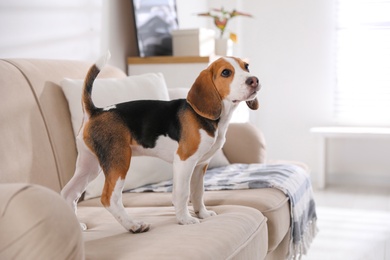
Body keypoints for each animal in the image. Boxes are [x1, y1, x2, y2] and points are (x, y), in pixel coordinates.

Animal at [62, 51, 260, 233]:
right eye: (226, 72)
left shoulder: (200, 165)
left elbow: (198, 192)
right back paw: (133, 225)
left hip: (89, 166)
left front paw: (202, 214)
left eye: (246, 67)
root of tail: (96, 111)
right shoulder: (184, 161)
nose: (254, 80)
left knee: (68, 193)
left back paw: (77, 226)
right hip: (119, 160)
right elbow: (182, 193)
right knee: (109, 198)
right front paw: (185, 219)